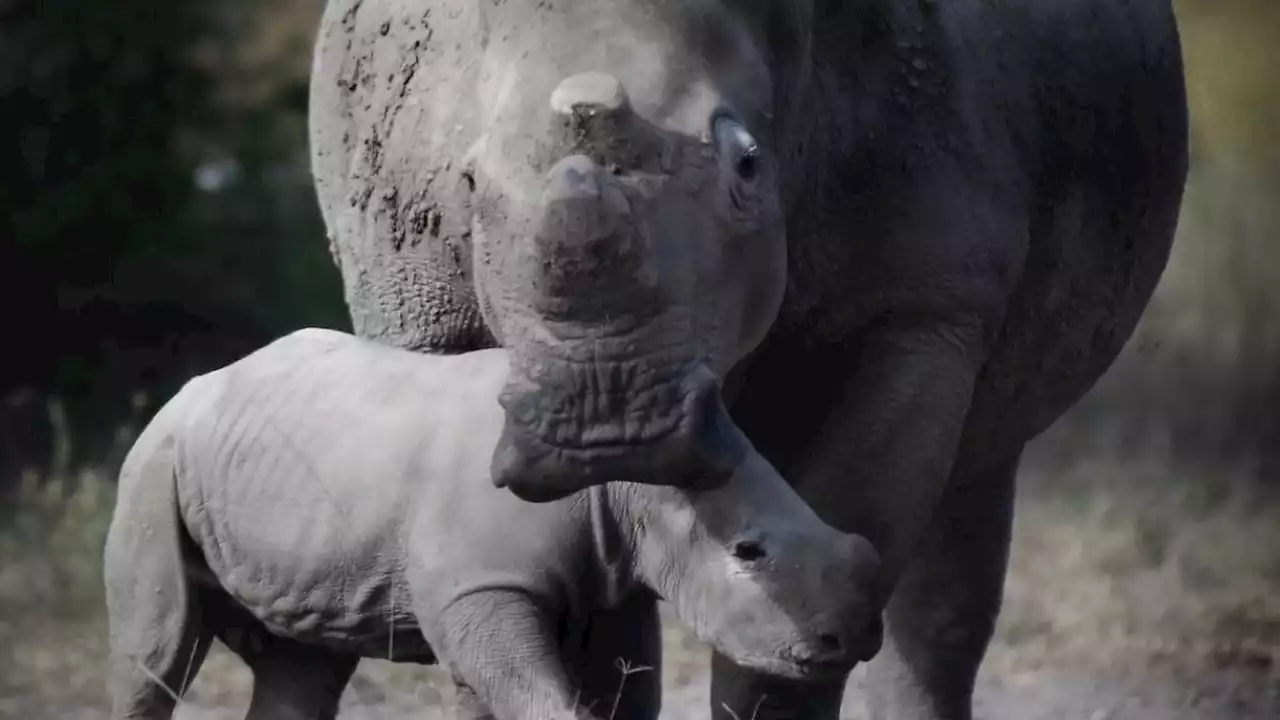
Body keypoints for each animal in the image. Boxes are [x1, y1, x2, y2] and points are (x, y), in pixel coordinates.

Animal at [104, 326, 880, 717]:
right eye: (749, 552)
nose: (852, 639)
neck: (633, 480)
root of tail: (199, 386)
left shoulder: (595, 579)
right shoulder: (485, 586)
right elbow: (534, 692)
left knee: (303, 665)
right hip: (152, 462)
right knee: (155, 654)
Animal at [309, 1, 1187, 717]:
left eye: (749, 166)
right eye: (466, 180)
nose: (605, 421)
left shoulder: (924, 307)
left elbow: (823, 574)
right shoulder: (423, 309)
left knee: (972, 496)